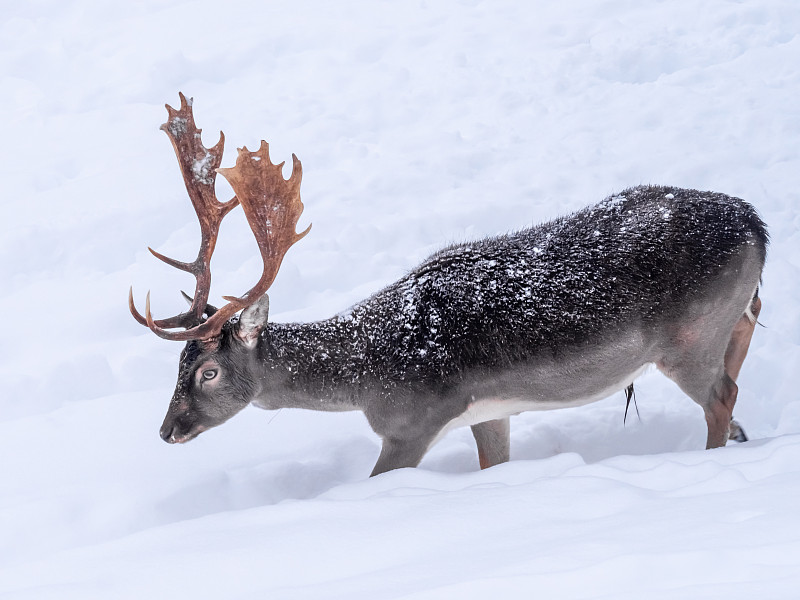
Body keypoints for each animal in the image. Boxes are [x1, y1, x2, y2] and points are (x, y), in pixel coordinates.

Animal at [131, 94, 768, 476]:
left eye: (208, 372)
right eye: (176, 366)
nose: (166, 430)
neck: (365, 376)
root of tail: (756, 225)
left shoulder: (411, 421)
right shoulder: (489, 411)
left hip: (688, 336)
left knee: (721, 396)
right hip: (733, 311)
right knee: (740, 365)